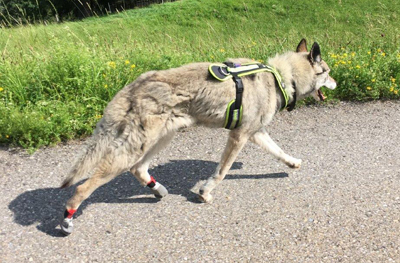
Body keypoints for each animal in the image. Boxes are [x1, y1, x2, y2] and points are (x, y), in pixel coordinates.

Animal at [59, 38, 338, 235]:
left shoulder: (255, 132)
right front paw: (205, 192)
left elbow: (279, 152)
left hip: (159, 140)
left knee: (138, 169)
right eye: (327, 71)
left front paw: (292, 163)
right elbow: (221, 172)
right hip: (134, 149)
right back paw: (67, 217)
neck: (280, 77)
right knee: (84, 186)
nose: (336, 83)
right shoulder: (239, 136)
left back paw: (157, 189)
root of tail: (132, 87)